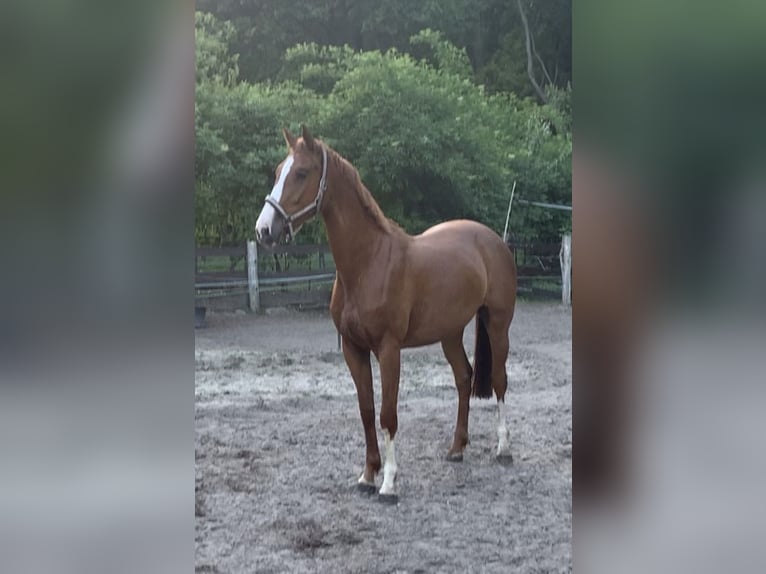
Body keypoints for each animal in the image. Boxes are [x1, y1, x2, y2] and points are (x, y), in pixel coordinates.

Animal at [255, 126, 517, 502]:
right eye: (278, 172)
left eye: (302, 173)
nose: (264, 230)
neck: (369, 262)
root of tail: (493, 240)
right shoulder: (354, 349)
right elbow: (366, 411)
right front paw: (367, 475)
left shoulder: (389, 349)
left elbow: (387, 413)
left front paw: (389, 483)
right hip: (450, 333)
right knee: (464, 377)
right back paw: (456, 449)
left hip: (497, 324)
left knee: (498, 380)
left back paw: (504, 449)